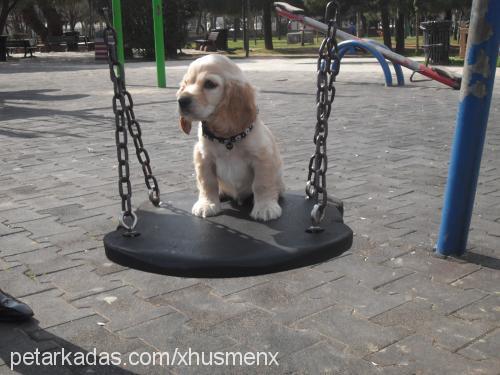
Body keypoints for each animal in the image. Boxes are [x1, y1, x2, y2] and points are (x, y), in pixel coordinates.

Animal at [176, 54, 286, 222]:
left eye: (209, 84)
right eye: (186, 84)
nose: (181, 101)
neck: (227, 139)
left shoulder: (263, 157)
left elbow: (262, 184)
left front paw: (265, 207)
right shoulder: (203, 157)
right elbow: (207, 183)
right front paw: (207, 204)